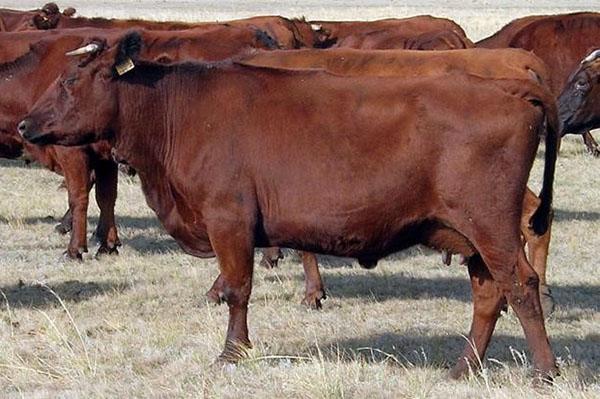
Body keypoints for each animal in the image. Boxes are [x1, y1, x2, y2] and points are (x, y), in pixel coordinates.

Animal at [0, 26, 282, 260]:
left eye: (69, 80)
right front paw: (108, 244)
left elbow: (78, 197)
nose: (24, 126)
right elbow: (106, 197)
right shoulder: (105, 156)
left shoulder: (74, 153)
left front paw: (75, 248)